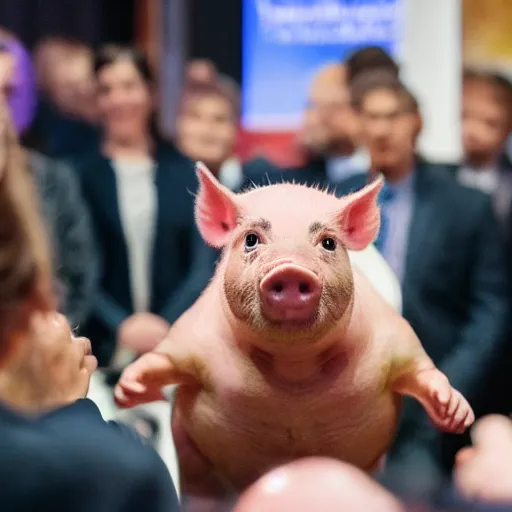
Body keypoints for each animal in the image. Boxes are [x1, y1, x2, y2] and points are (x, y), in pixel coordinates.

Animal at [114, 163, 474, 496]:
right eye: (251, 240)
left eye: (328, 243)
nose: (289, 269)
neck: (294, 371)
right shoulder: (192, 336)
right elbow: (164, 358)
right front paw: (127, 391)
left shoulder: (393, 337)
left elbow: (420, 369)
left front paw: (456, 414)